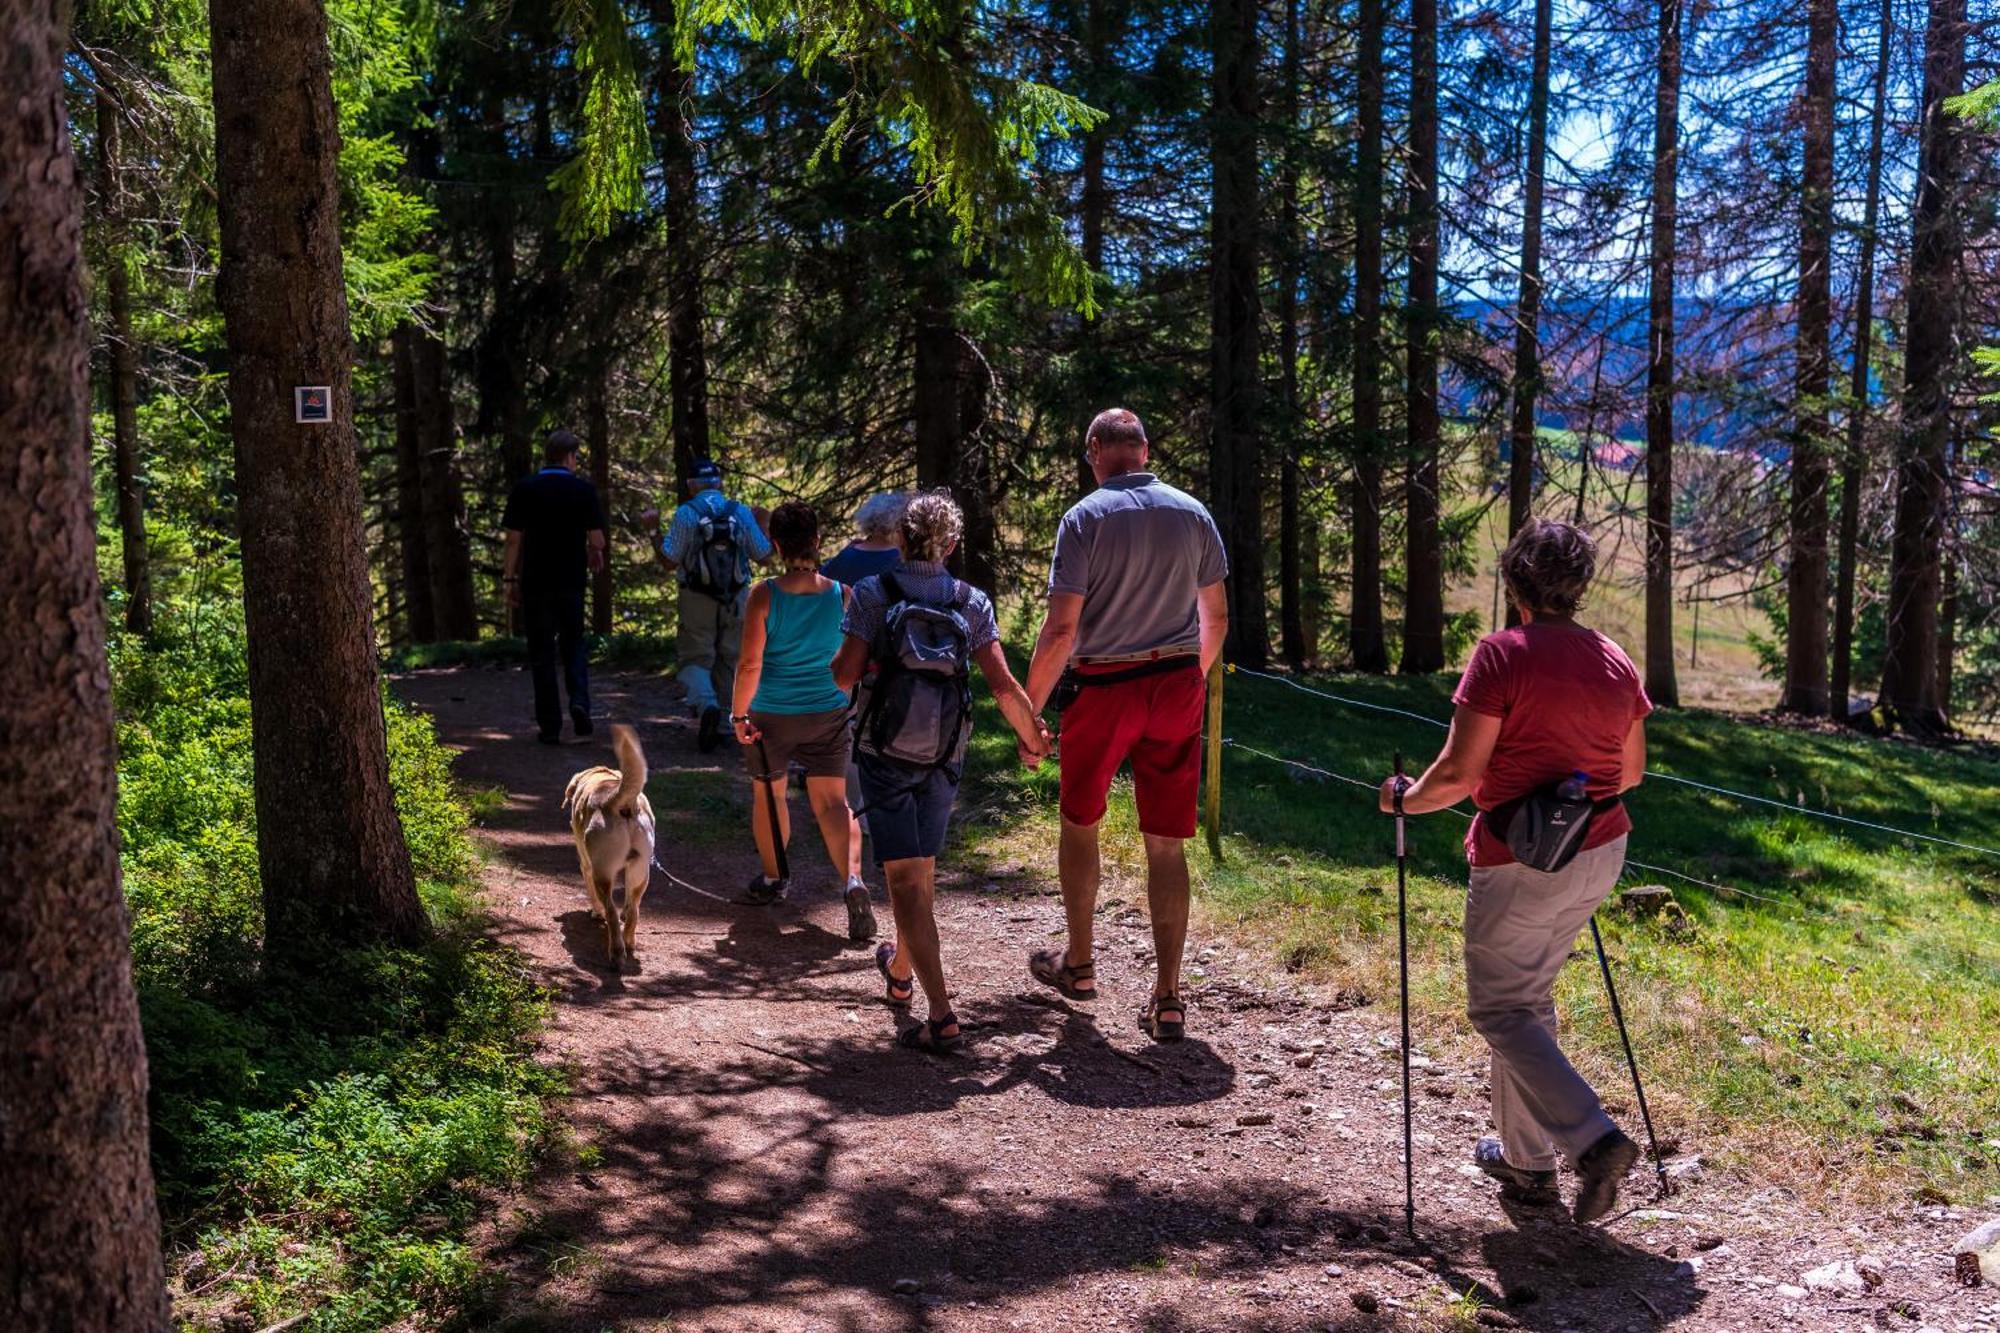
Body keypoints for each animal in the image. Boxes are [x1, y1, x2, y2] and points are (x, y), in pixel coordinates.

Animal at [564, 720, 656, 960]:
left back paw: (616, 952)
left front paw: (596, 912)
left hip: (602, 874)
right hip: (641, 872)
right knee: (633, 910)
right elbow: (629, 905)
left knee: (611, 912)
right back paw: (629, 942)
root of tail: (621, 801)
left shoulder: (586, 866)